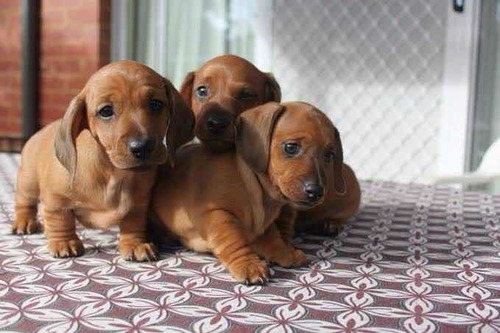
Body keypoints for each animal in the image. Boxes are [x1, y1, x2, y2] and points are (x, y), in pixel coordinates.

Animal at [11, 61, 195, 260]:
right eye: (106, 111)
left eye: (156, 104)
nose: (142, 146)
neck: (113, 173)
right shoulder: (56, 198)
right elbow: (60, 219)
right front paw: (64, 242)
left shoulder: (138, 204)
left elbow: (134, 224)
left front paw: (134, 244)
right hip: (28, 182)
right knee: (25, 202)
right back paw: (24, 222)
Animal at [150, 101, 344, 282]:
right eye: (291, 147)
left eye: (329, 155)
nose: (316, 192)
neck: (257, 190)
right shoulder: (215, 213)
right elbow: (234, 240)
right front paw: (248, 264)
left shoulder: (262, 226)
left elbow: (273, 237)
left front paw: (284, 251)